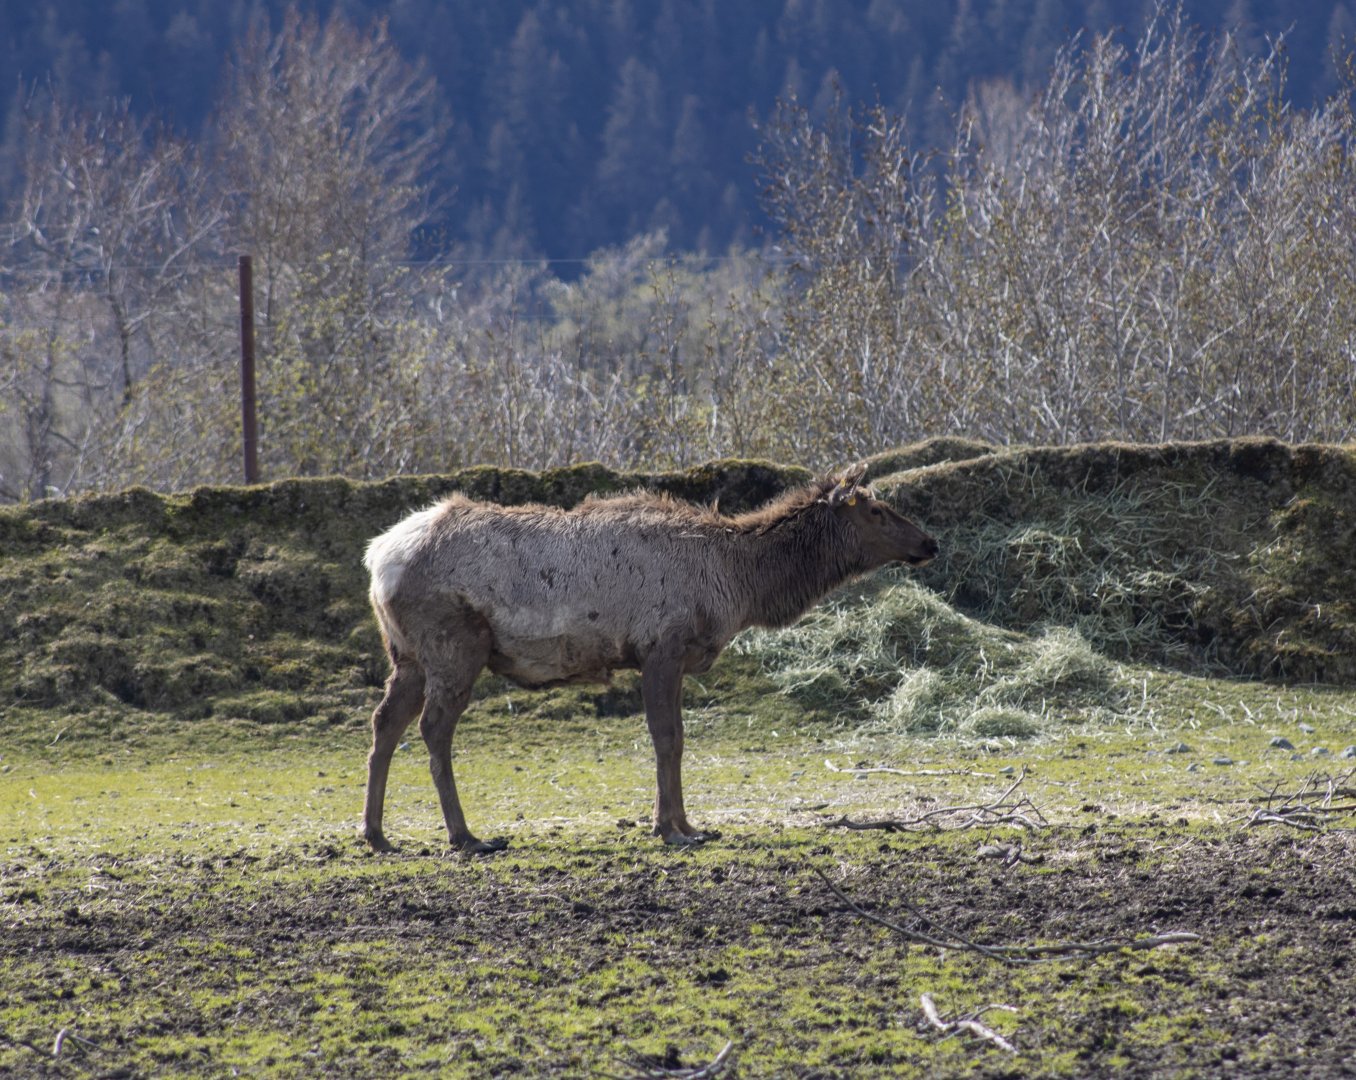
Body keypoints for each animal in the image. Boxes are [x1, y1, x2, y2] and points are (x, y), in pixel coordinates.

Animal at [360, 465, 938, 853]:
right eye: (877, 510)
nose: (930, 543)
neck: (736, 583)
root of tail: (377, 559)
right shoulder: (662, 645)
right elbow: (666, 737)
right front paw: (671, 828)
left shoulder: (669, 657)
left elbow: (675, 738)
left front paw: (686, 824)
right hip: (454, 645)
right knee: (433, 727)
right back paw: (466, 836)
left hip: (406, 655)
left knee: (385, 722)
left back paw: (377, 834)